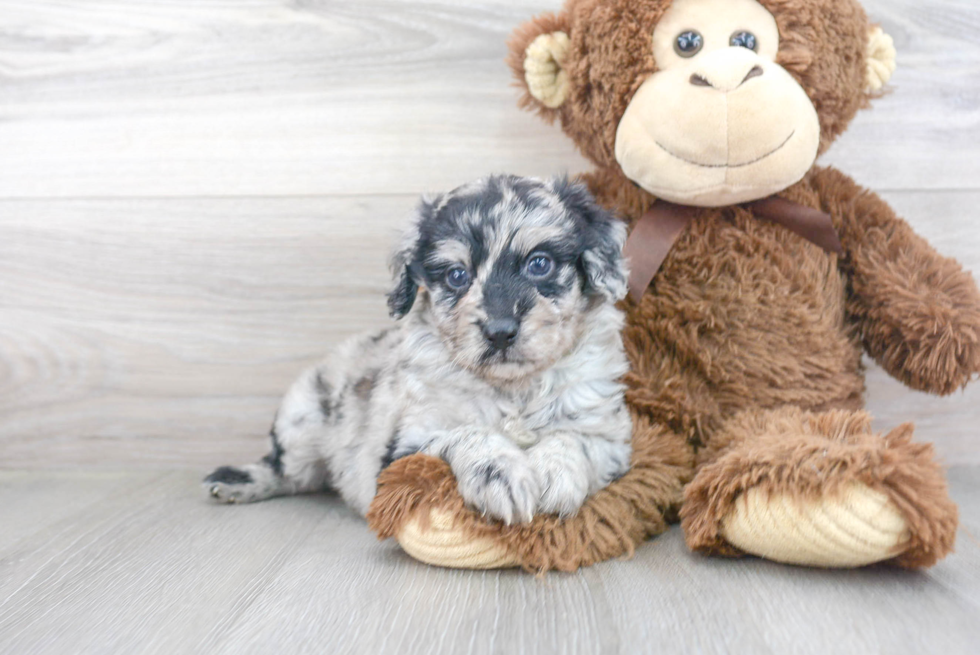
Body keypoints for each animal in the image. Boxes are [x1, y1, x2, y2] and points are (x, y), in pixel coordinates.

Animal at [208, 174, 636, 524]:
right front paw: (502, 473)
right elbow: (464, 434)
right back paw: (237, 481)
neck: (512, 390)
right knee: (286, 469)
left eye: (540, 264)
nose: (499, 332)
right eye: (457, 275)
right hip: (303, 420)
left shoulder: (611, 439)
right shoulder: (400, 453)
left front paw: (552, 471)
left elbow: (575, 439)